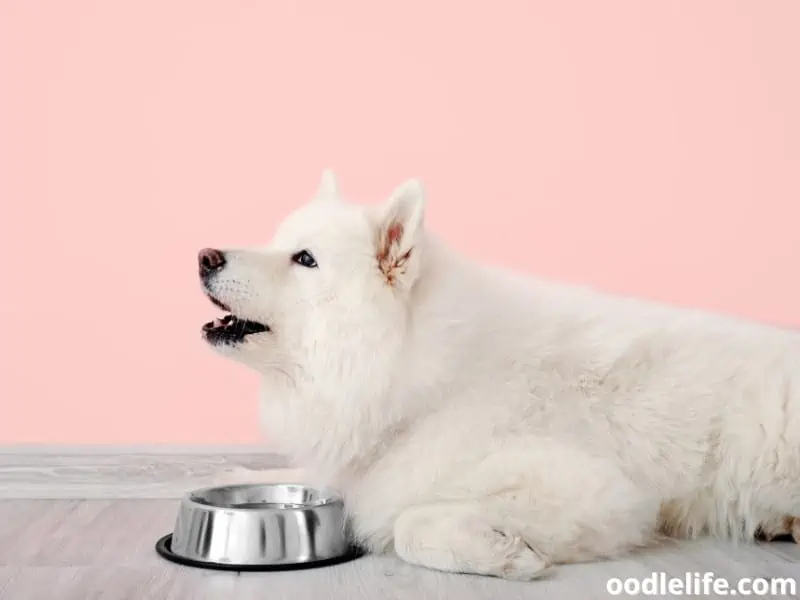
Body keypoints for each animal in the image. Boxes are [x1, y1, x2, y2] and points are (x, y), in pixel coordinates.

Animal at [198, 171, 800, 580]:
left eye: (305, 259)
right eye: (277, 241)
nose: (205, 256)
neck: (417, 377)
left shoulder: (597, 493)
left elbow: (412, 522)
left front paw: (504, 553)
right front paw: (233, 473)